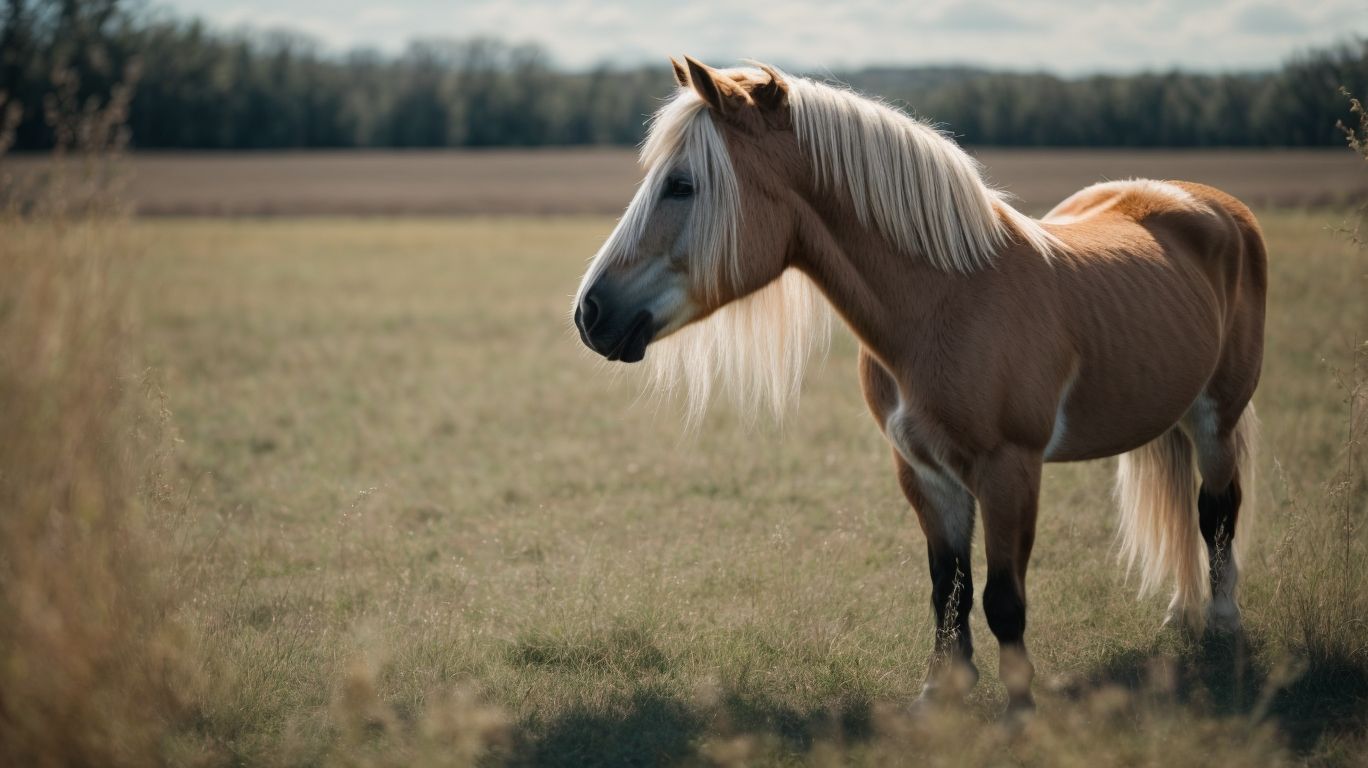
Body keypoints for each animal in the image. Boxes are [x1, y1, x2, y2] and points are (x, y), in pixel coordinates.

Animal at [572, 57, 1265, 714]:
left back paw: (1222, 622)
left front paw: (1020, 709)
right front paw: (942, 693)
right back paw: (1180, 612)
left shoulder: (1009, 469)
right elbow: (947, 588)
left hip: (1217, 417)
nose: (590, 312)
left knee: (1216, 511)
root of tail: (1209, 203)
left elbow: (1003, 597)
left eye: (682, 185)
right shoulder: (923, 471)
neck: (948, 301)